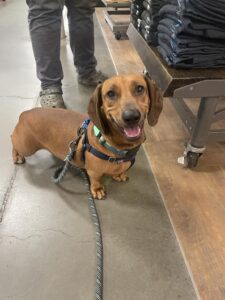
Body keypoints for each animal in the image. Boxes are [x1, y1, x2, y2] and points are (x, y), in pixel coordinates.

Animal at [11, 73, 163, 199]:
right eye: (111, 93)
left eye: (139, 88)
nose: (131, 116)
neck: (118, 148)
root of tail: (25, 113)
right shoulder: (93, 172)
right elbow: (95, 180)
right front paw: (97, 189)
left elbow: (119, 171)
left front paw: (118, 175)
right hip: (26, 147)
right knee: (12, 139)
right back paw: (16, 156)